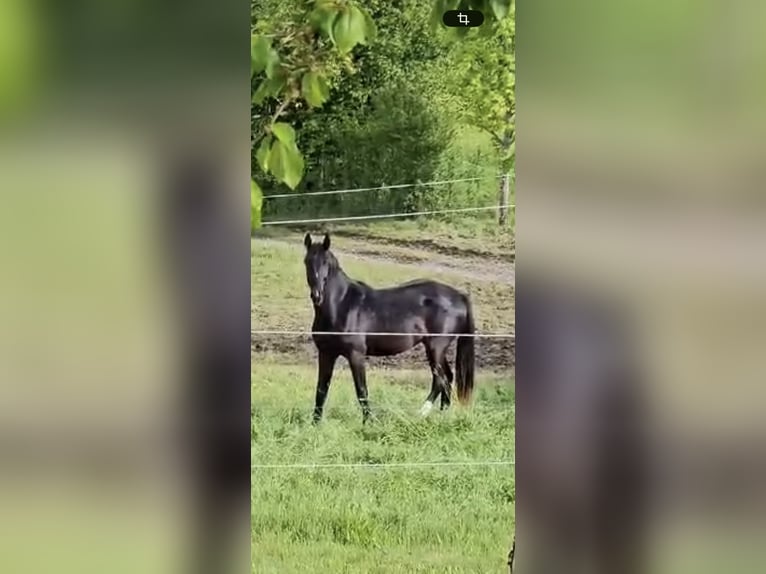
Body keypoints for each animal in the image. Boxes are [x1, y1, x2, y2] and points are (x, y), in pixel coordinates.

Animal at [303, 232, 476, 423]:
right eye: (307, 261)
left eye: (325, 262)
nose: (317, 296)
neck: (343, 305)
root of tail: (459, 295)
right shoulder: (326, 354)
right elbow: (321, 390)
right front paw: (315, 424)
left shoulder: (356, 355)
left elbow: (361, 390)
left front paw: (369, 422)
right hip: (435, 348)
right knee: (447, 378)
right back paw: (442, 415)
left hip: (436, 347)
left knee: (440, 380)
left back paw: (420, 413)